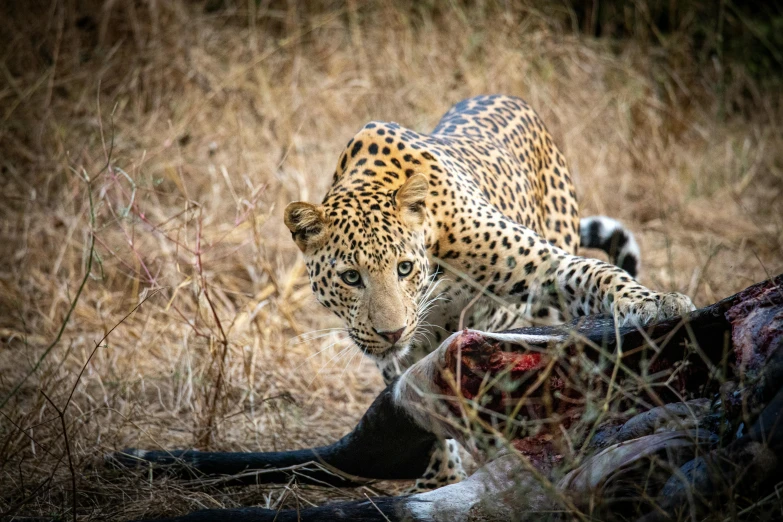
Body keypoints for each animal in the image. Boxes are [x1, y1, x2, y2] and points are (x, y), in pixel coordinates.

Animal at [284, 94, 696, 492]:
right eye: (351, 277)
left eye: (404, 268)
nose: (392, 333)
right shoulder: (399, 355)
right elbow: (419, 402)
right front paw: (441, 478)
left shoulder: (546, 265)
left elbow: (599, 273)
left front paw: (655, 302)